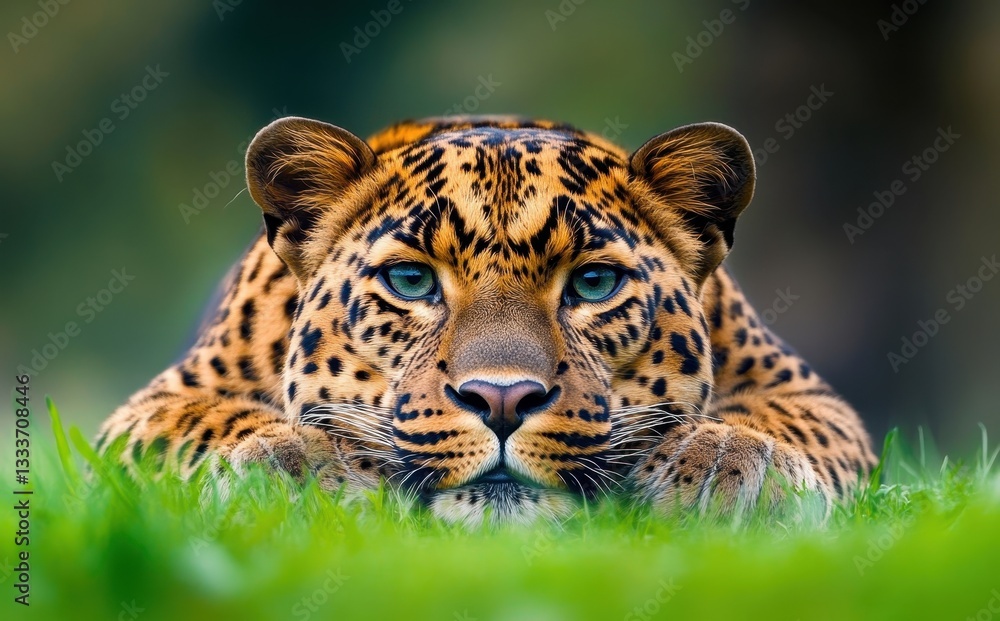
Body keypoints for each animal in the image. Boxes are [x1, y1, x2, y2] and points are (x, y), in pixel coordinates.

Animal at [98, 115, 877, 525]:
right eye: (411, 280)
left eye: (593, 283)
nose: (502, 400)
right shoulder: (153, 407)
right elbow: (211, 423)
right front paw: (304, 464)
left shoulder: (805, 392)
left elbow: (786, 424)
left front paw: (723, 465)